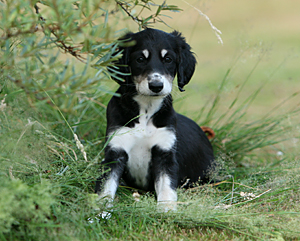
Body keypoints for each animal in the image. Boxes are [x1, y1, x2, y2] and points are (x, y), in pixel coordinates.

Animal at [95, 27, 214, 209]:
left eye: (168, 59)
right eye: (140, 59)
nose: (156, 86)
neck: (146, 110)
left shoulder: (164, 154)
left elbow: (167, 188)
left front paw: (167, 210)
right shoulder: (115, 151)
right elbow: (105, 188)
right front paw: (100, 211)